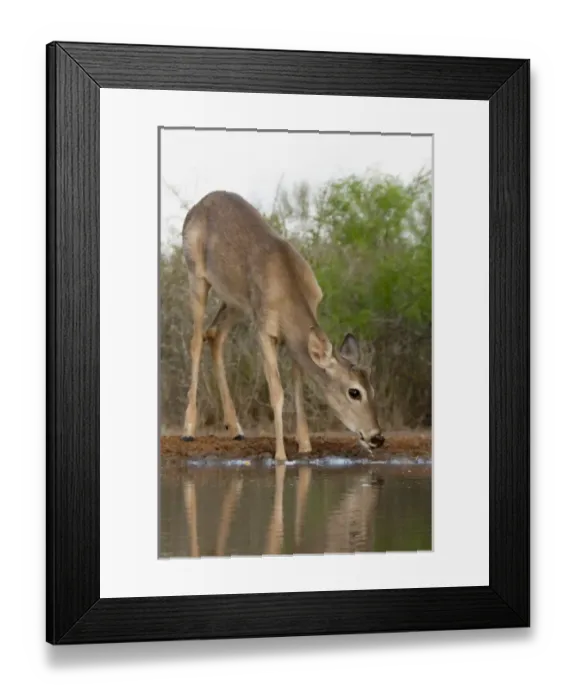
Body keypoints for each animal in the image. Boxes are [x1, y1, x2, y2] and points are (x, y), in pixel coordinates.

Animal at [179, 190, 385, 462]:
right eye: (354, 392)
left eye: (372, 387)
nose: (377, 437)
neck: (289, 289)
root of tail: (197, 206)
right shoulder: (265, 330)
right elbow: (277, 392)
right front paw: (280, 455)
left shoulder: (294, 341)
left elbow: (297, 387)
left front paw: (305, 444)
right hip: (197, 276)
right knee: (195, 340)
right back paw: (189, 429)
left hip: (236, 301)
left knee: (214, 334)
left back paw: (235, 428)